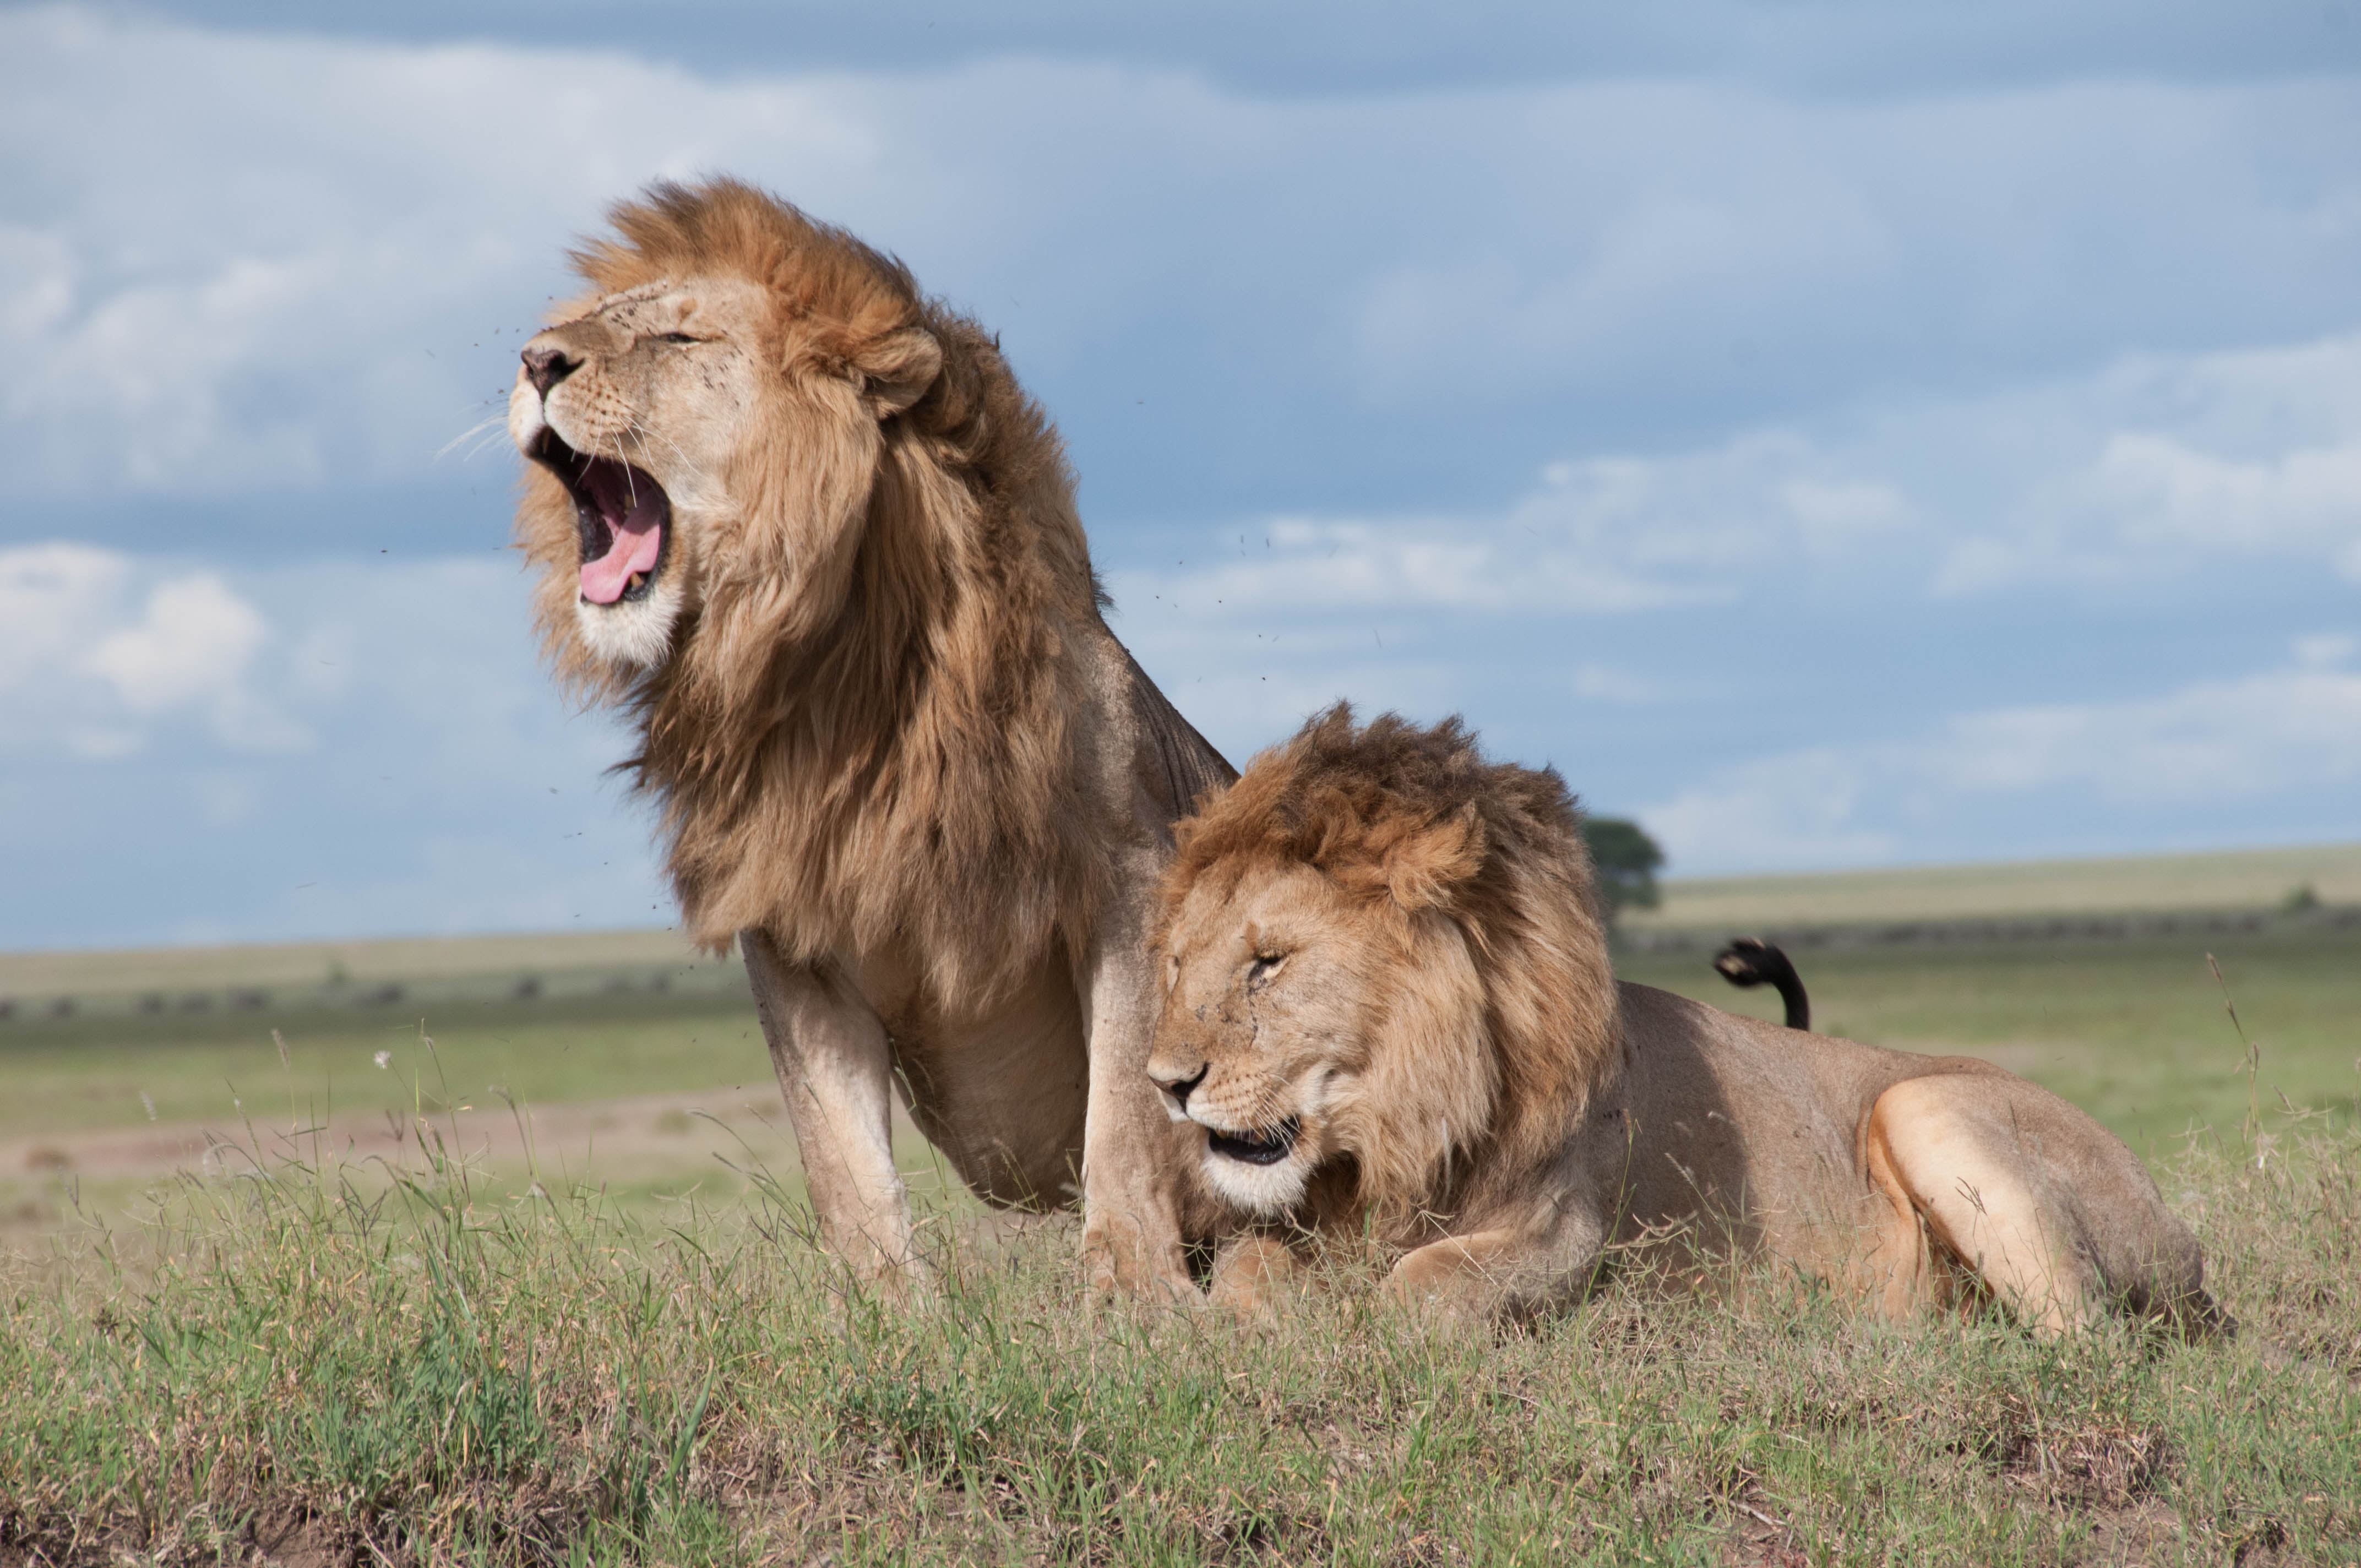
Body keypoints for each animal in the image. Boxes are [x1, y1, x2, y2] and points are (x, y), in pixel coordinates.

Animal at [505, 177, 1227, 1294]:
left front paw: (1135, 1292)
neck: (833, 681)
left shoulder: (1132, 874)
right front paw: (886, 1307)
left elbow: (1125, 1115)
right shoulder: (789, 925)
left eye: (677, 336)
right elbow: (838, 1154)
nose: (535, 360)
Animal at [1143, 708, 2210, 1332]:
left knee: (2088, 1344)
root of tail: (2182, 1238)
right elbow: (1245, 1271)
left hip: (1927, 1104)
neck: (1394, 1130)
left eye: (1268, 963)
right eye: (1178, 963)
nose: (1164, 1085)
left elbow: (1422, 1285)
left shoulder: (1569, 1232)